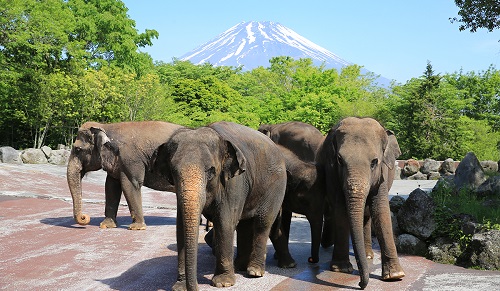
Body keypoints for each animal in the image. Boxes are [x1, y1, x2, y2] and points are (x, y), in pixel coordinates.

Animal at [152, 121, 286, 291]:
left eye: (211, 171)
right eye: (174, 172)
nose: (195, 287)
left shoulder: (234, 182)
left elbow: (224, 222)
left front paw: (223, 283)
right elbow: (180, 227)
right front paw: (179, 287)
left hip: (276, 186)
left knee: (262, 223)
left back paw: (254, 272)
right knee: (244, 225)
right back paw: (240, 266)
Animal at [320, 117, 406, 290]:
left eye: (374, 162)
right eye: (340, 160)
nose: (360, 284)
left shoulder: (382, 174)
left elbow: (380, 210)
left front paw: (395, 276)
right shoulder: (332, 171)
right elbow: (340, 208)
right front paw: (341, 269)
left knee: (368, 216)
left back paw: (368, 256)